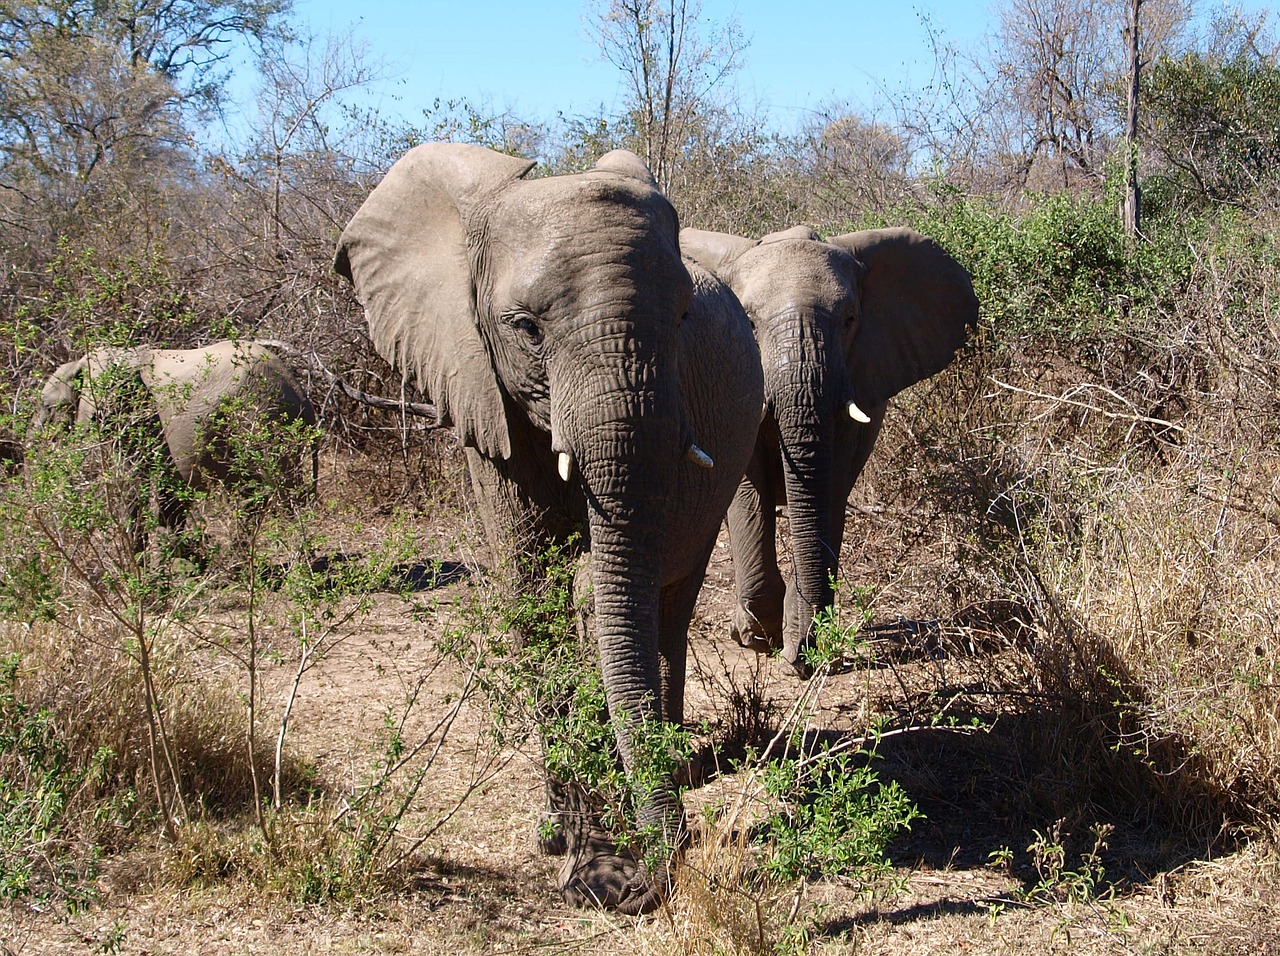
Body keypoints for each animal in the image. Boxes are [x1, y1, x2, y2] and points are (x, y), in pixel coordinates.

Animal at [32, 342, 317, 552]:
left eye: (47, 406)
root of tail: (298, 389)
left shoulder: (131, 412)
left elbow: (133, 480)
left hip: (259, 415)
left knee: (275, 488)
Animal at [335, 143, 762, 921]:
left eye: (685, 315)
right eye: (525, 328)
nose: (649, 879)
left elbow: (617, 589)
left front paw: (603, 865)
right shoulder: (483, 396)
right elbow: (531, 591)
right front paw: (577, 856)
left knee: (671, 602)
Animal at [686, 223, 972, 670]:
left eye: (850, 319)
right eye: (748, 322)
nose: (799, 660)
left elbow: (830, 486)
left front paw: (798, 639)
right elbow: (750, 487)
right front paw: (756, 637)